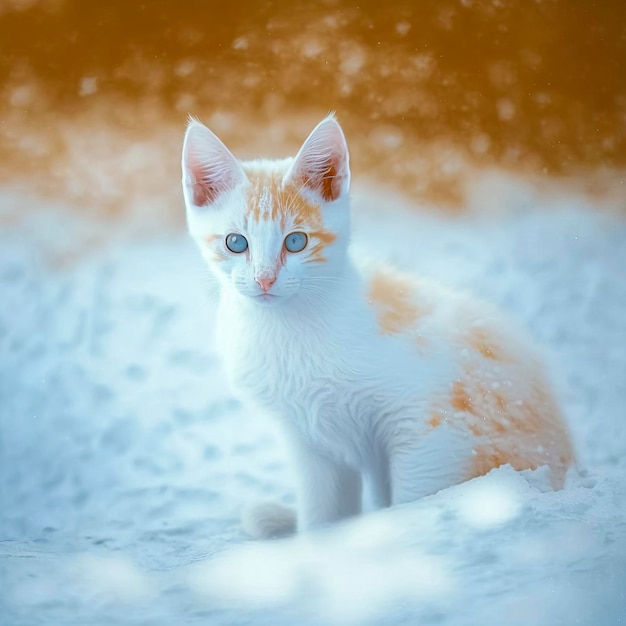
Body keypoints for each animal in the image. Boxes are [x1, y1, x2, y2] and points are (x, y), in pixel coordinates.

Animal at [179, 114, 572, 540]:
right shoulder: (309, 443)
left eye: (296, 241)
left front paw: (395, 534)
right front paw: (316, 543)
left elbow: (416, 495)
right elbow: (322, 510)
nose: (265, 280)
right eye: (236, 243)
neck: (290, 330)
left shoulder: (432, 423)